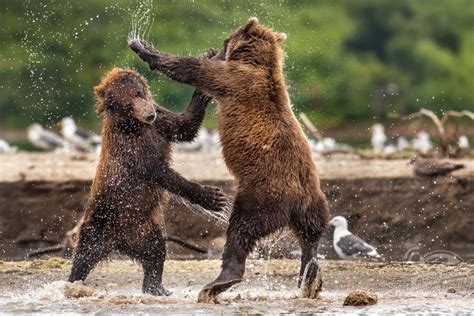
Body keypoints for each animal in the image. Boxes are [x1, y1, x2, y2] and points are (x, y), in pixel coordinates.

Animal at [67, 65, 229, 296]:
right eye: (127, 103)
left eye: (139, 93)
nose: (148, 113)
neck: (136, 125)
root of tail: (117, 242)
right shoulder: (132, 148)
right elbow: (161, 173)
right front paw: (214, 197)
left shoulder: (160, 121)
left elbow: (183, 125)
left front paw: (203, 88)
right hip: (101, 222)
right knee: (84, 255)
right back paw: (74, 281)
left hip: (142, 229)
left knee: (155, 250)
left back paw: (156, 287)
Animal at [130, 17, 330, 304]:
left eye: (227, 40)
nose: (217, 48)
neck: (258, 63)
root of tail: (299, 200)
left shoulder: (234, 80)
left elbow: (194, 70)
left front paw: (146, 49)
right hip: (313, 202)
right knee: (312, 235)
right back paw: (310, 275)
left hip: (264, 196)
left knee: (241, 230)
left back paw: (218, 283)